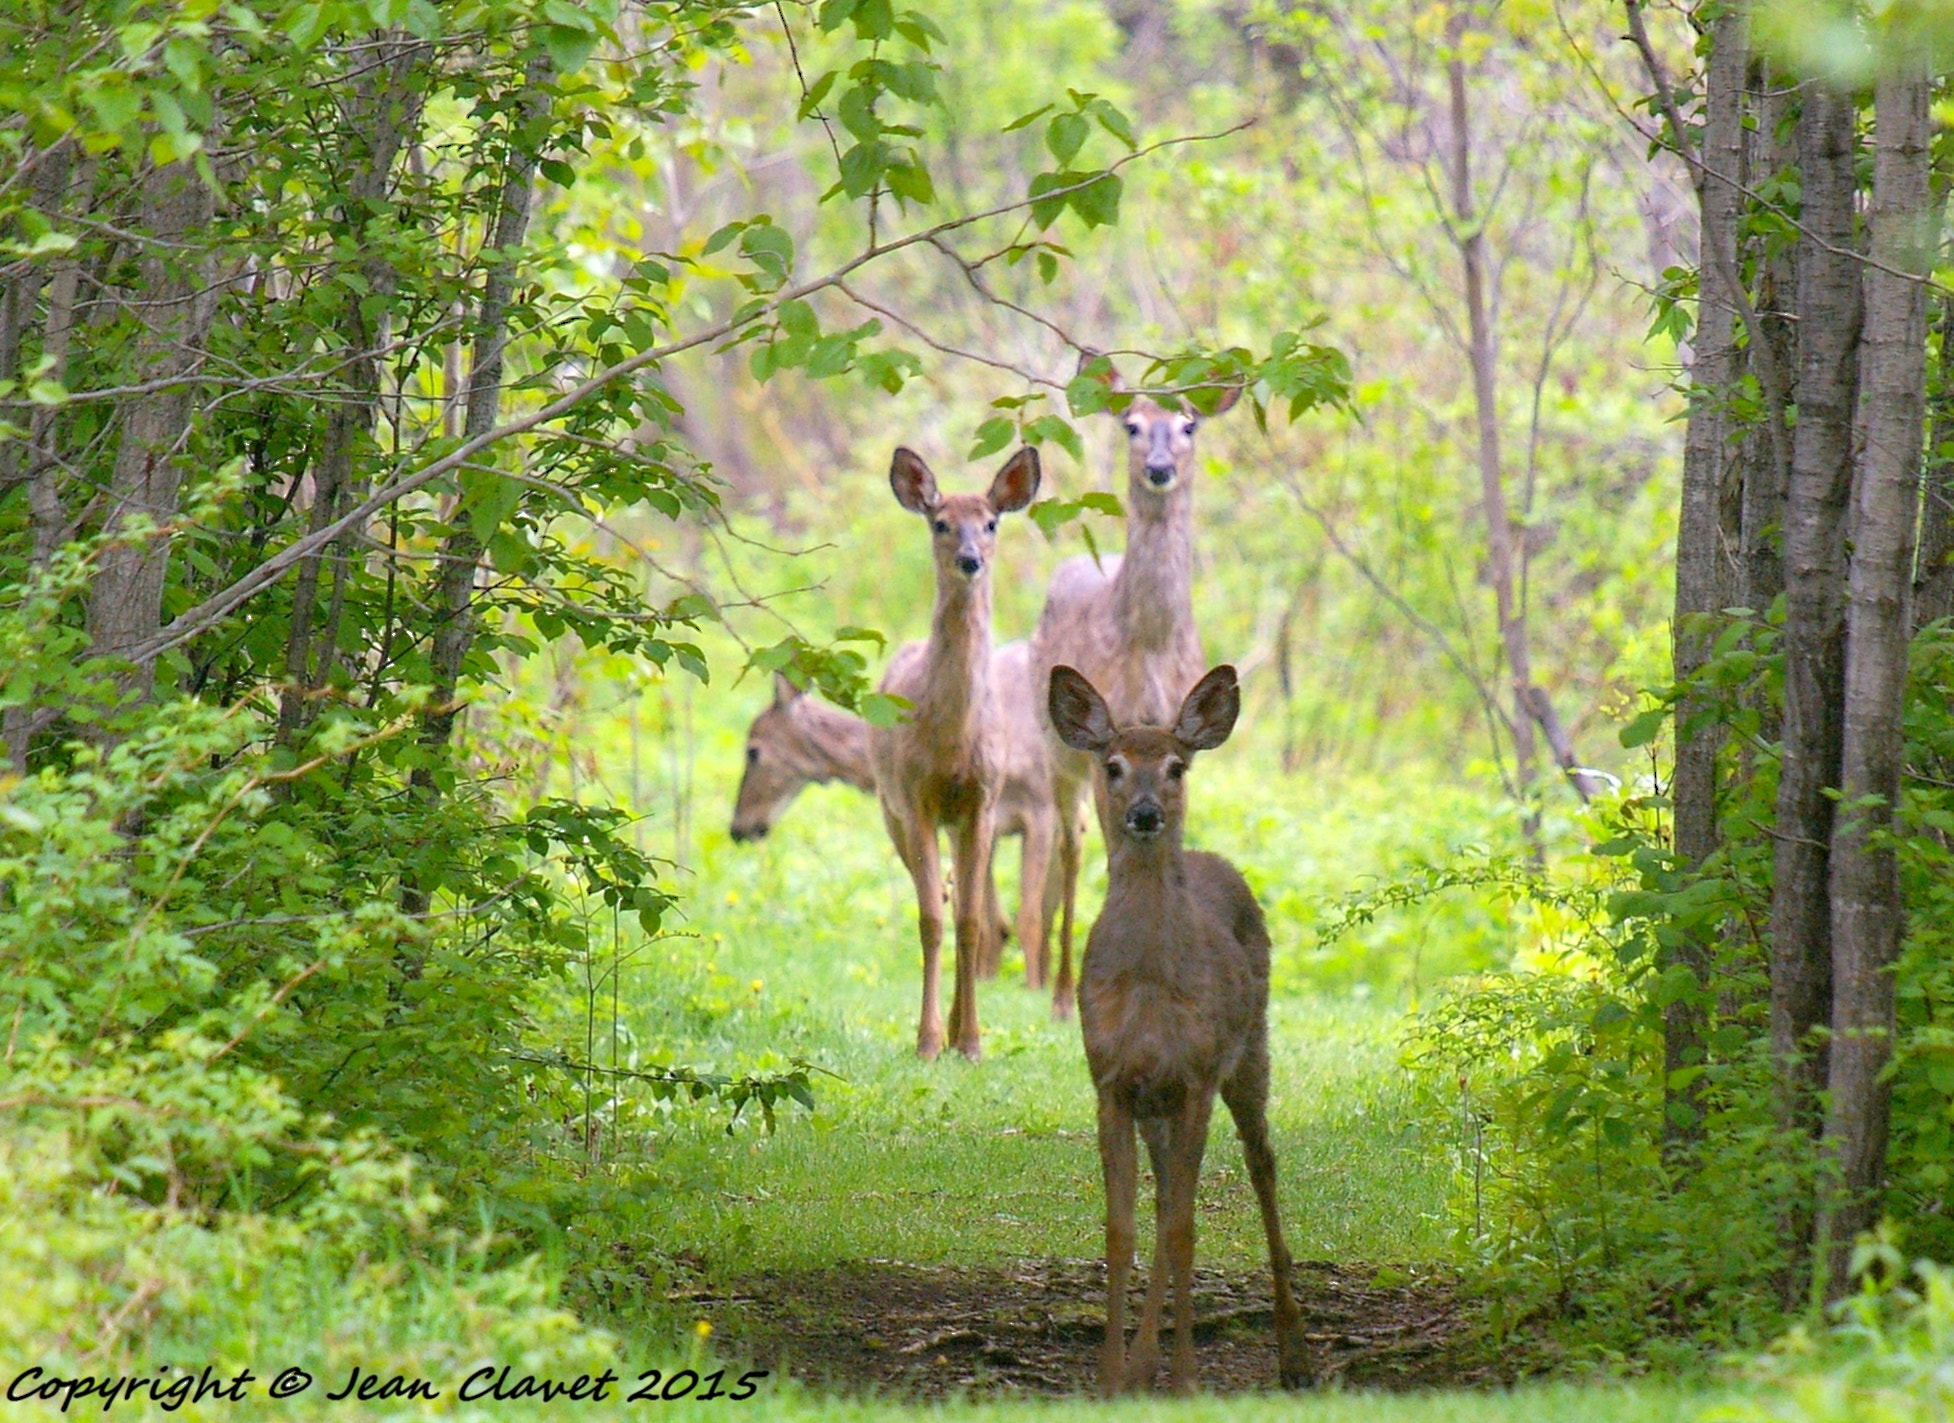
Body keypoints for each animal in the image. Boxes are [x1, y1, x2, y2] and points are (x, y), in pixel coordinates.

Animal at [879, 445, 1047, 1055]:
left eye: (991, 522)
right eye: (941, 522)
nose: (971, 559)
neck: (952, 742)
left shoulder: (983, 801)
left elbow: (974, 921)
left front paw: (971, 1041)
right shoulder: (916, 798)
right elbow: (930, 919)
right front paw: (928, 1040)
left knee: (965, 911)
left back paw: (958, 1031)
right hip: (891, 812)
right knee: (939, 905)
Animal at [1031, 361, 1242, 1016]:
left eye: (1189, 424)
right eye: (1131, 425)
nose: (1159, 467)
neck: (1148, 644)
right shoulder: (1103, 747)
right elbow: (1102, 850)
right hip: (1055, 754)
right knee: (1069, 848)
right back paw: (1056, 989)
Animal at [1047, 660, 1305, 1391]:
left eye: (1175, 766)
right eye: (1111, 765)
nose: (1145, 813)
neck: (1149, 986)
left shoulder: (1194, 1075)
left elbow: (1188, 1229)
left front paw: (1188, 1378)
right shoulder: (1110, 1080)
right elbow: (1124, 1230)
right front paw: (1110, 1377)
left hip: (1249, 1053)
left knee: (1262, 1164)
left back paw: (1294, 1352)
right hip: (1156, 1104)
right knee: (1165, 1196)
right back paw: (1142, 1362)